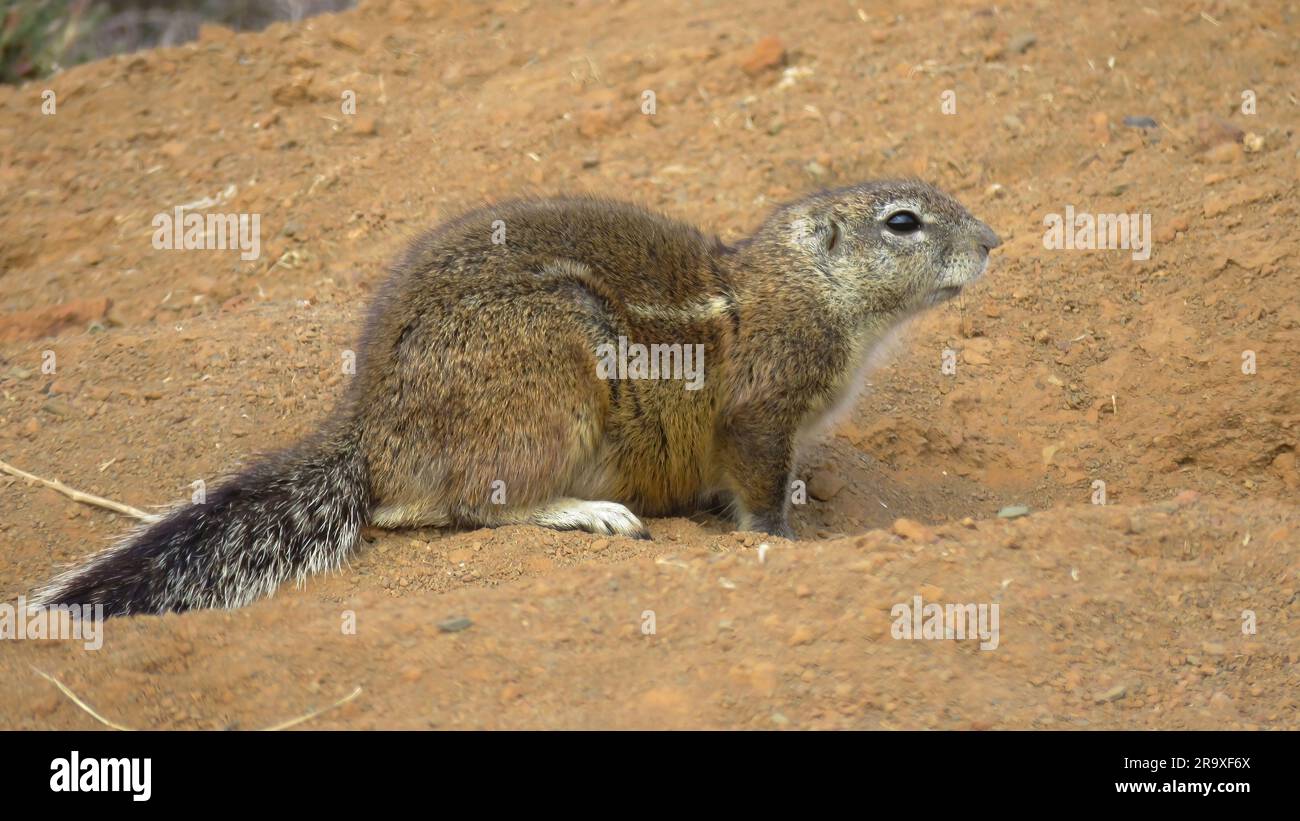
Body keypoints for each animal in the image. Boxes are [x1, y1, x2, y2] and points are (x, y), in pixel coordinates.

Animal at [32, 180, 1003, 615]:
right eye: (904, 222)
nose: (995, 239)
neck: (801, 287)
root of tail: (368, 426)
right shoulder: (761, 413)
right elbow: (760, 493)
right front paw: (783, 537)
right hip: (548, 385)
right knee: (451, 506)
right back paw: (589, 511)